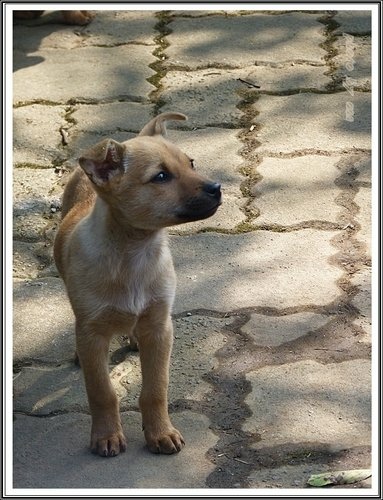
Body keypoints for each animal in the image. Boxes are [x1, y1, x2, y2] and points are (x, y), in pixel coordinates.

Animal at [54, 113, 222, 458]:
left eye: (191, 163)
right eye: (161, 176)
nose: (218, 188)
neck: (132, 253)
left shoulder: (159, 327)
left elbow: (155, 389)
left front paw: (160, 432)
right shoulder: (92, 333)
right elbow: (101, 391)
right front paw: (106, 435)